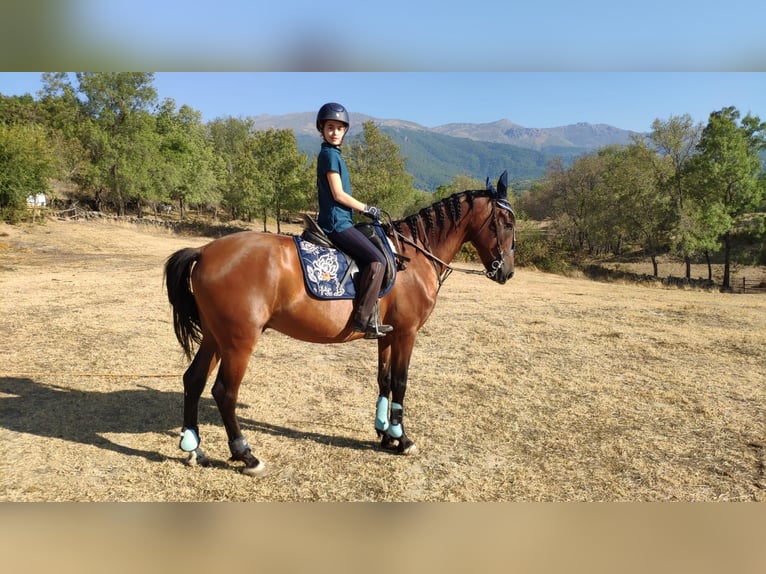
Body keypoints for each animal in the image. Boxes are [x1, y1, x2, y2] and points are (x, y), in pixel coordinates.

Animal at [165, 171, 520, 476]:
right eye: (507, 222)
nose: (506, 272)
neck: (413, 257)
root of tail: (205, 251)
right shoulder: (406, 333)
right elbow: (401, 382)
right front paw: (402, 439)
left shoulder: (387, 335)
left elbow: (384, 379)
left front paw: (385, 433)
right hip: (239, 341)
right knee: (224, 392)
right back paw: (246, 455)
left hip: (215, 336)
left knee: (193, 380)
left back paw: (193, 447)